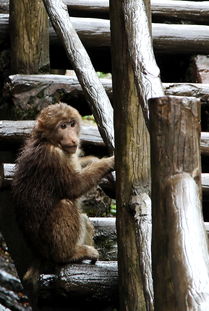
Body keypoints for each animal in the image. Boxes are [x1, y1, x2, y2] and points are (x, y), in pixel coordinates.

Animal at [11, 103, 114, 284]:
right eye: (62, 126)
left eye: (72, 124)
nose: (72, 138)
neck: (50, 141)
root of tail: (38, 254)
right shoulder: (52, 157)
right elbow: (74, 187)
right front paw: (109, 162)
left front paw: (94, 160)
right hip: (47, 246)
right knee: (64, 204)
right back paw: (68, 255)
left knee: (83, 218)